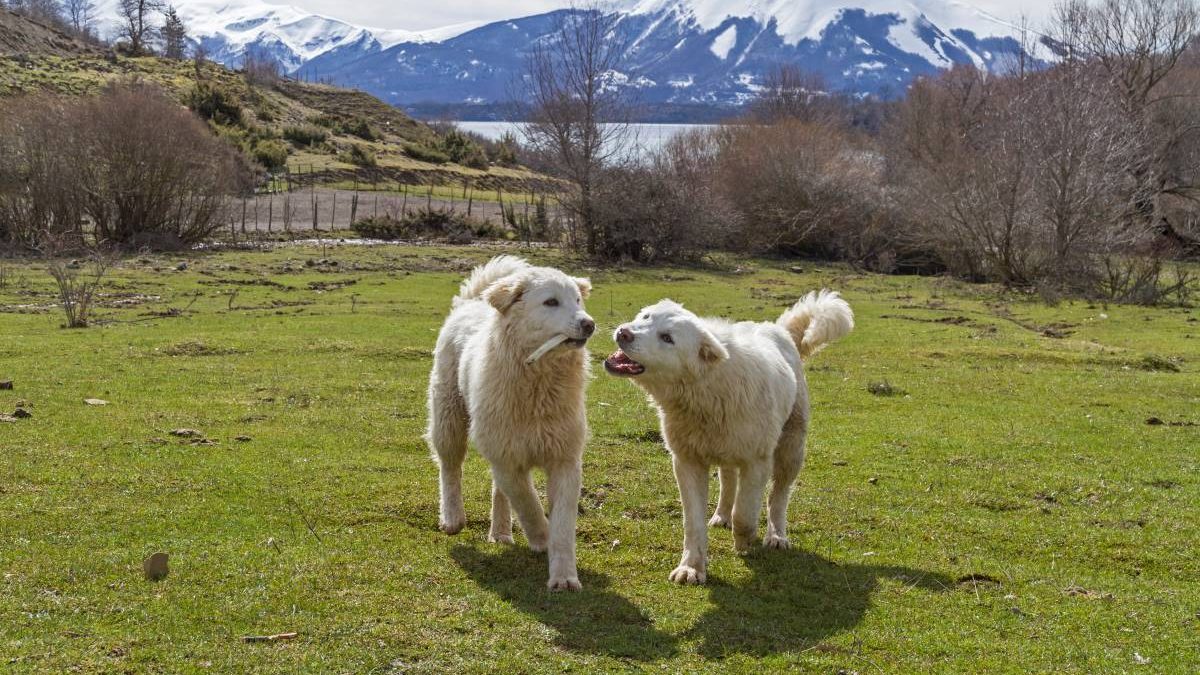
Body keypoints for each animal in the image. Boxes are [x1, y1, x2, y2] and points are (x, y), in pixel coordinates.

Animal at [432, 254, 600, 586]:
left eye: (577, 299)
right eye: (551, 302)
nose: (588, 324)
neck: (540, 382)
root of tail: (471, 303)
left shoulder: (564, 458)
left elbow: (562, 524)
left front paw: (564, 576)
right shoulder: (508, 459)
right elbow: (528, 503)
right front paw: (542, 538)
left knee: (497, 489)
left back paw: (500, 533)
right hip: (449, 418)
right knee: (450, 468)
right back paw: (453, 518)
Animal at [609, 289, 854, 583]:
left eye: (667, 338)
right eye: (645, 317)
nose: (623, 333)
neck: (706, 388)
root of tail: (777, 329)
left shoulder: (757, 462)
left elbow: (745, 514)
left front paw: (744, 544)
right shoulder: (687, 462)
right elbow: (693, 523)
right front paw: (692, 567)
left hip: (791, 449)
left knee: (778, 496)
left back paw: (776, 535)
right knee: (728, 481)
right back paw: (721, 515)